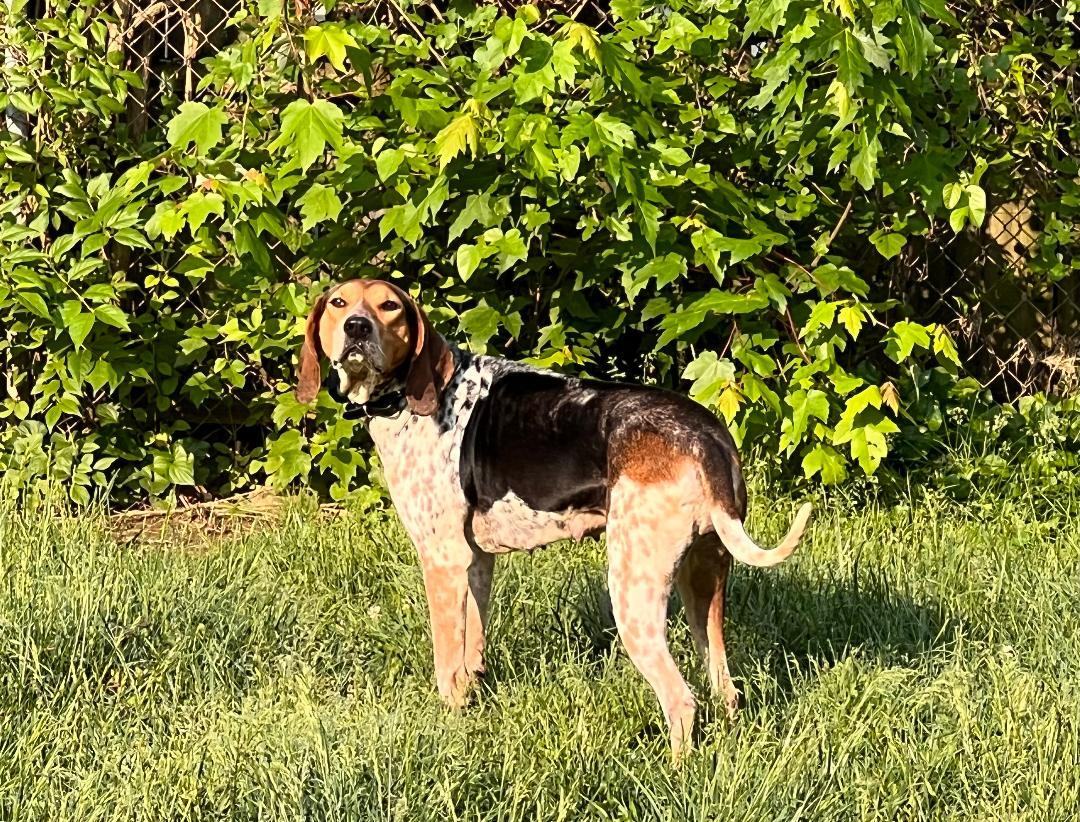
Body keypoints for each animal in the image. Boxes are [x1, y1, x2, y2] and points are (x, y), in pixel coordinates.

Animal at [295, 276, 812, 756]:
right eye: (339, 302)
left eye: (390, 307)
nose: (356, 327)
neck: (412, 395)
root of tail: (704, 434)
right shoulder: (476, 561)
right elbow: (473, 651)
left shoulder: (442, 561)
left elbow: (447, 664)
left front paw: (448, 726)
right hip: (702, 580)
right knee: (725, 688)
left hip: (634, 591)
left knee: (682, 701)